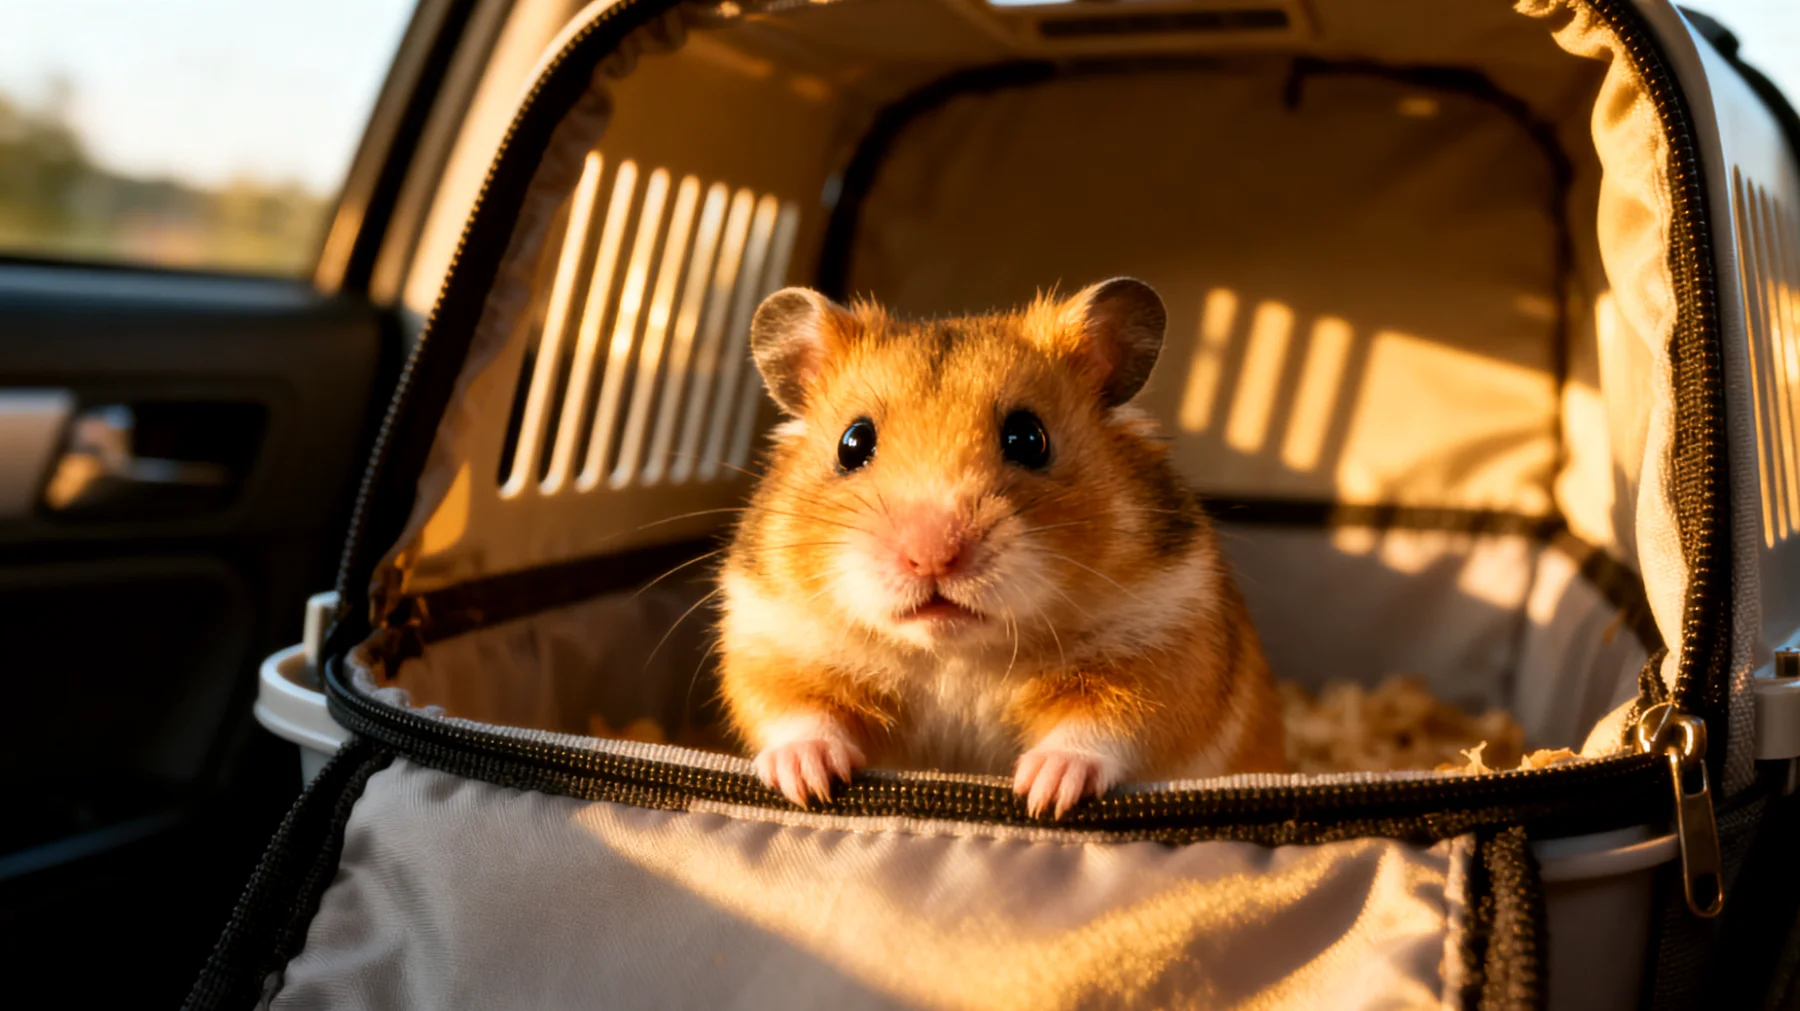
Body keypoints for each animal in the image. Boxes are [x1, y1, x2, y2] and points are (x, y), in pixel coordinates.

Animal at [717, 277, 1286, 817]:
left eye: (1029, 438)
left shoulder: (1165, 646)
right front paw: (808, 784)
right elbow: (795, 711)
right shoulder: (773, 640)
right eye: (853, 443)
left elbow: (1105, 724)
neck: (960, 653)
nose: (932, 555)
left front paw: (1043, 794)